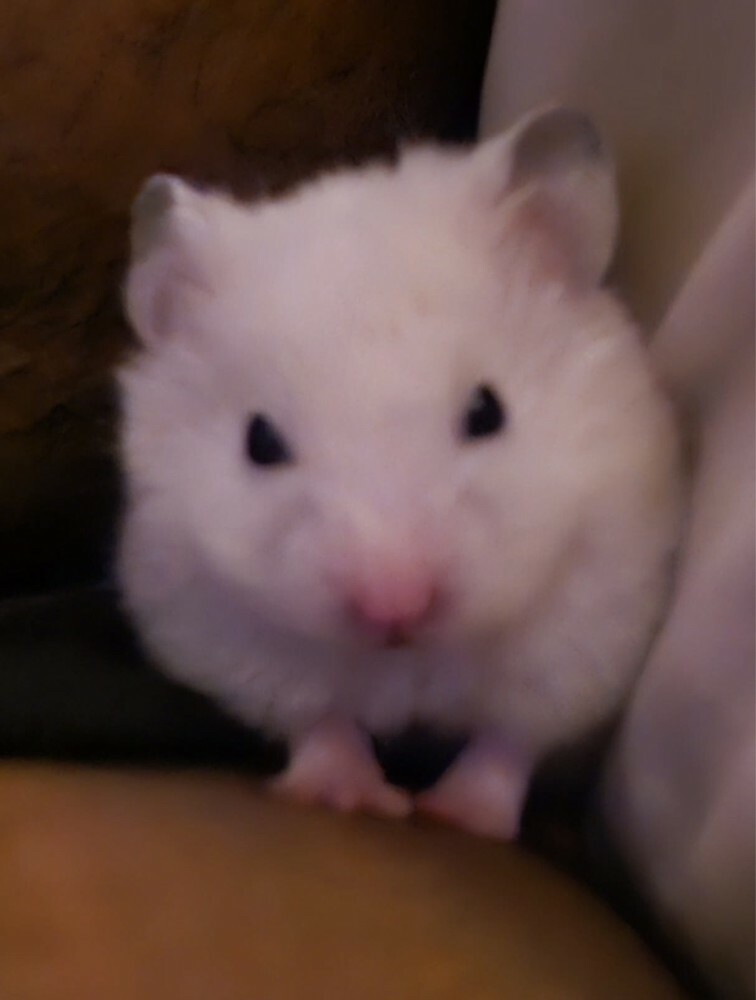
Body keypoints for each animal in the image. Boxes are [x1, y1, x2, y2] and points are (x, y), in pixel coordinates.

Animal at [116, 107, 681, 839]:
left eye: (487, 410)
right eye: (259, 441)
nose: (395, 606)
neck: (411, 659)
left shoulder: (587, 629)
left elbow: (508, 741)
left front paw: (459, 817)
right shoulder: (230, 630)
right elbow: (322, 720)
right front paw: (353, 798)